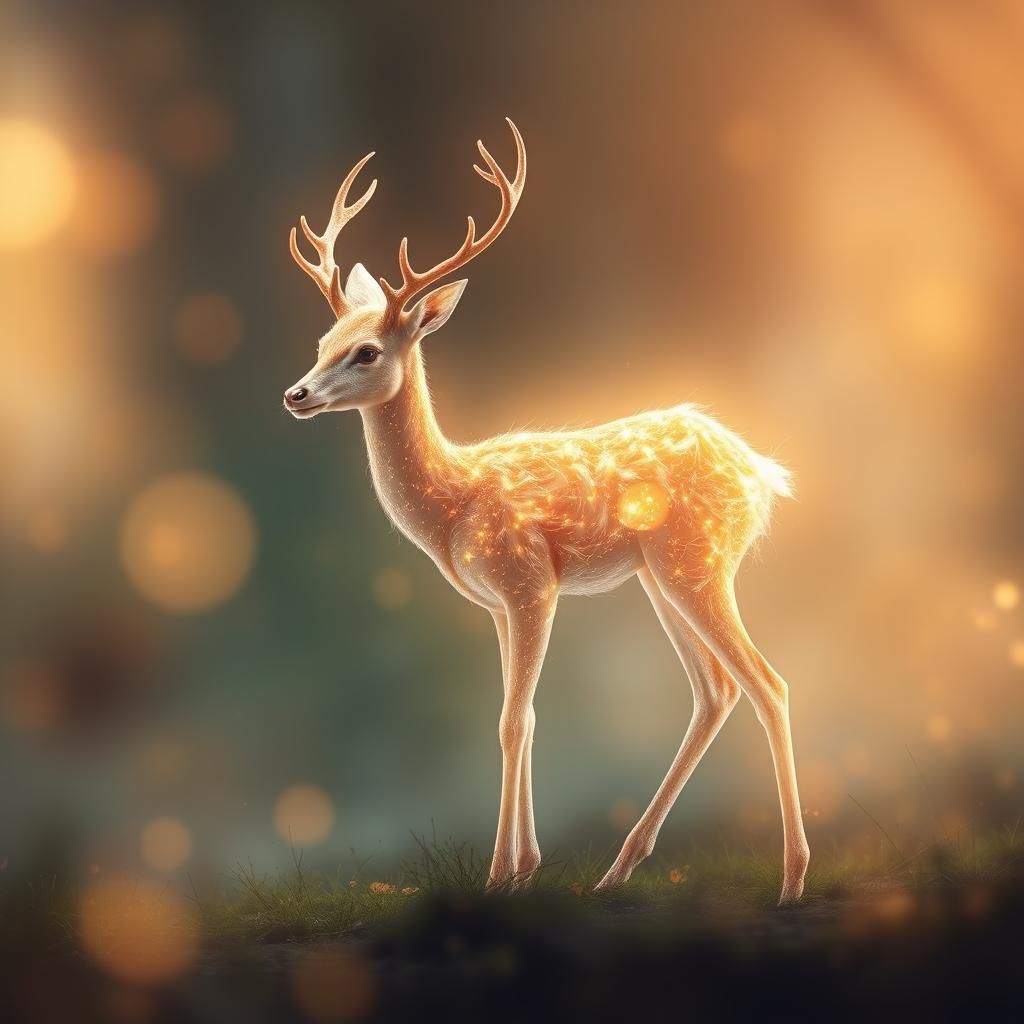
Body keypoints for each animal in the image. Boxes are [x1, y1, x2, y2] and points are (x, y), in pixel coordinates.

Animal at [283, 119, 810, 903]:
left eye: (367, 351)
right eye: (323, 343)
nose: (296, 394)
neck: (455, 501)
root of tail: (762, 473)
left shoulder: (530, 582)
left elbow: (509, 720)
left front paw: (500, 874)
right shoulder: (497, 605)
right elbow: (523, 716)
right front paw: (527, 866)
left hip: (697, 562)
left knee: (767, 683)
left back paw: (791, 879)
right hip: (660, 576)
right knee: (715, 690)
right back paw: (619, 869)